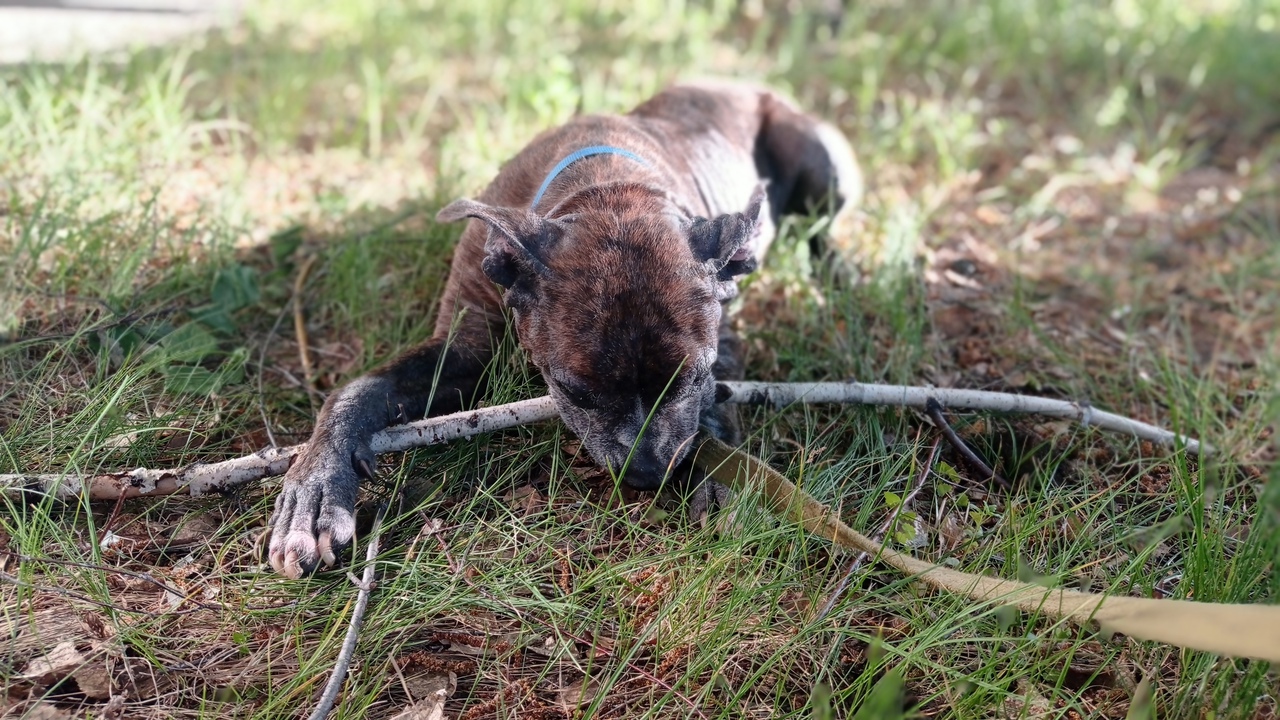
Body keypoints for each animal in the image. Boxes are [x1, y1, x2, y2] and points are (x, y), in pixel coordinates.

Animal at [266, 78, 860, 576]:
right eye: (573, 391)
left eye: (694, 378)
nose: (647, 474)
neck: (609, 188)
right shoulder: (461, 348)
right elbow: (358, 390)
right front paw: (316, 488)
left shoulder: (725, 334)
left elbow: (718, 404)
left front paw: (717, 471)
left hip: (822, 167)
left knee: (821, 227)